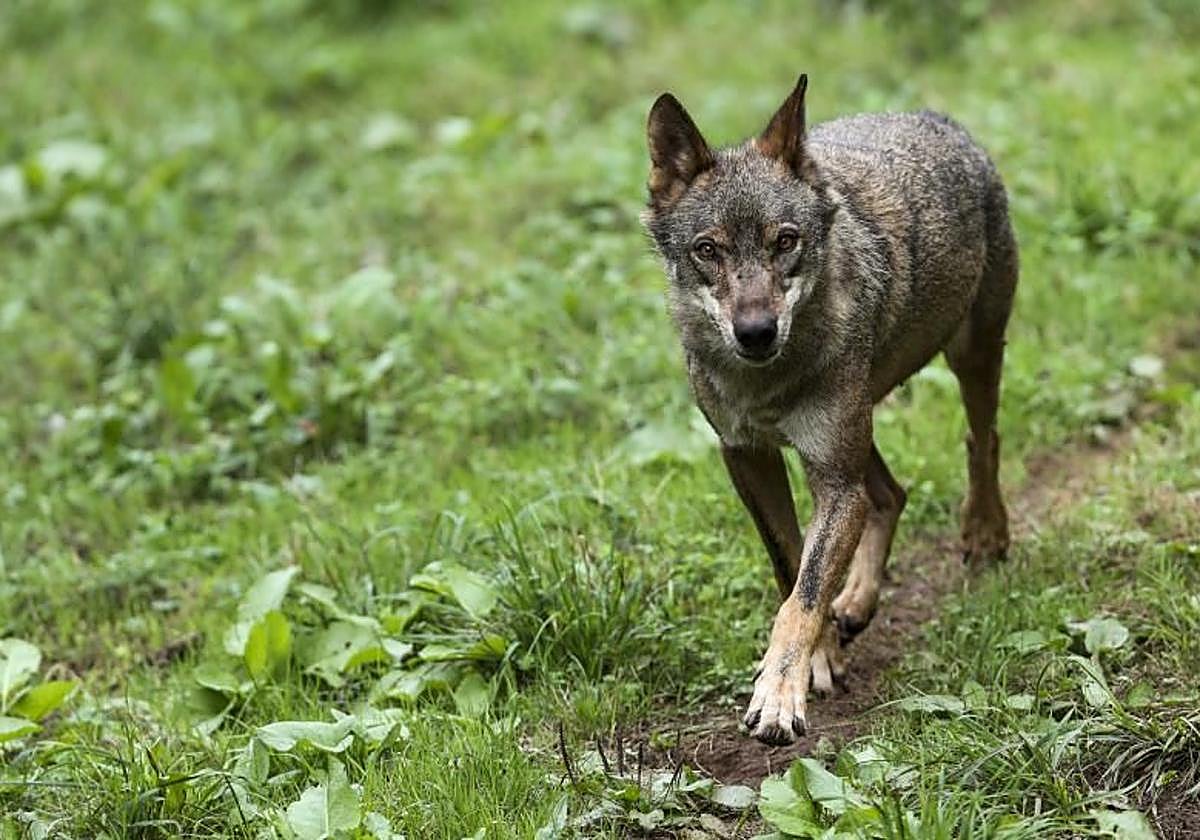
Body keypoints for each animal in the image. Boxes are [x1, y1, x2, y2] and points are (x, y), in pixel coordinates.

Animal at [642, 74, 1017, 745]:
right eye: (708, 250)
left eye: (785, 241)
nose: (756, 332)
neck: (767, 385)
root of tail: (934, 117)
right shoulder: (748, 458)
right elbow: (791, 565)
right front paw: (820, 660)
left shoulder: (834, 481)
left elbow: (804, 594)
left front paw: (778, 695)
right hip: (858, 430)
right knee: (891, 492)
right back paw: (860, 601)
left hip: (967, 358)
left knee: (983, 441)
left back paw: (984, 533)